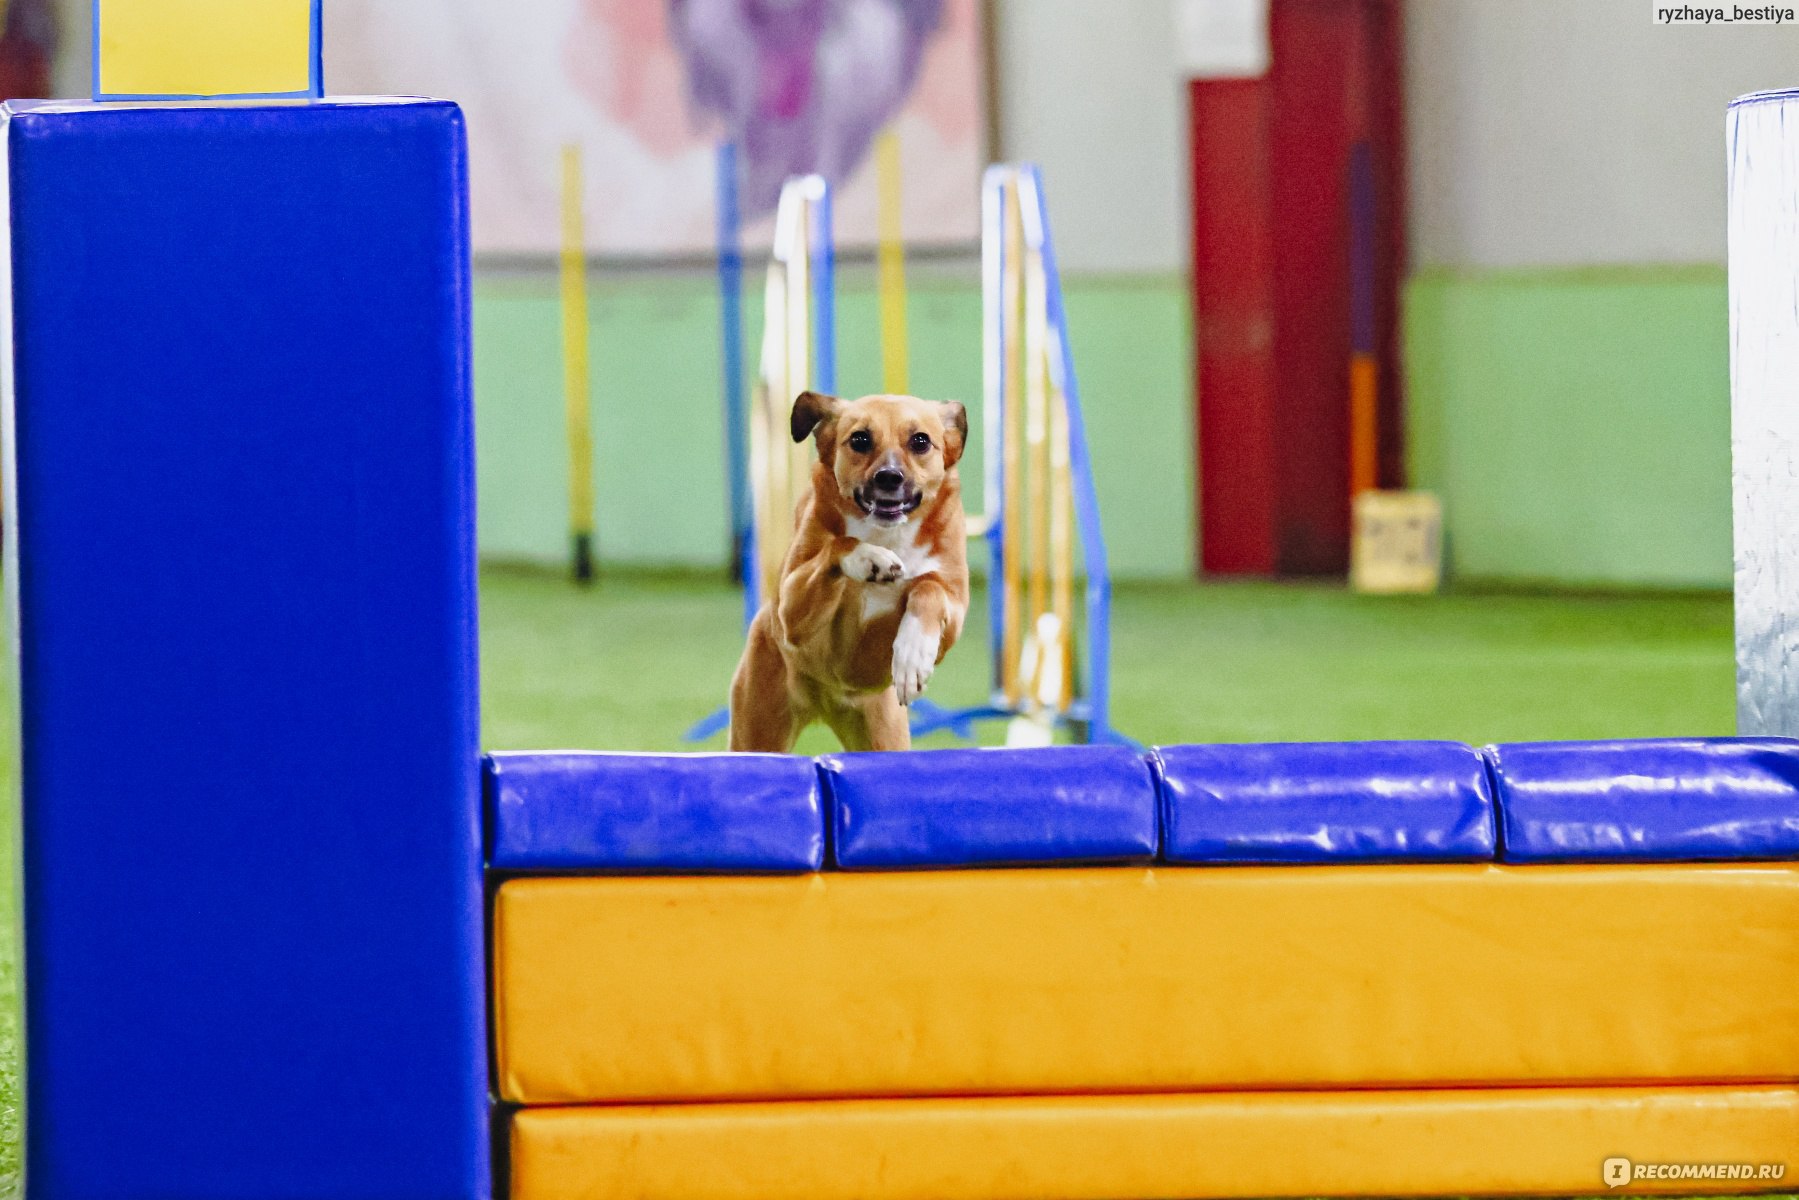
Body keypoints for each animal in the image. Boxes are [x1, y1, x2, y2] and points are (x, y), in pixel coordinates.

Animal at [726, 394, 971, 752]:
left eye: (920, 441)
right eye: (860, 439)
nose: (889, 477)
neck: (887, 534)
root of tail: (822, 708)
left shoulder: (952, 613)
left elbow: (928, 587)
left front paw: (912, 657)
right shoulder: (791, 613)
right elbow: (840, 543)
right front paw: (870, 558)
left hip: (884, 735)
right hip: (758, 724)